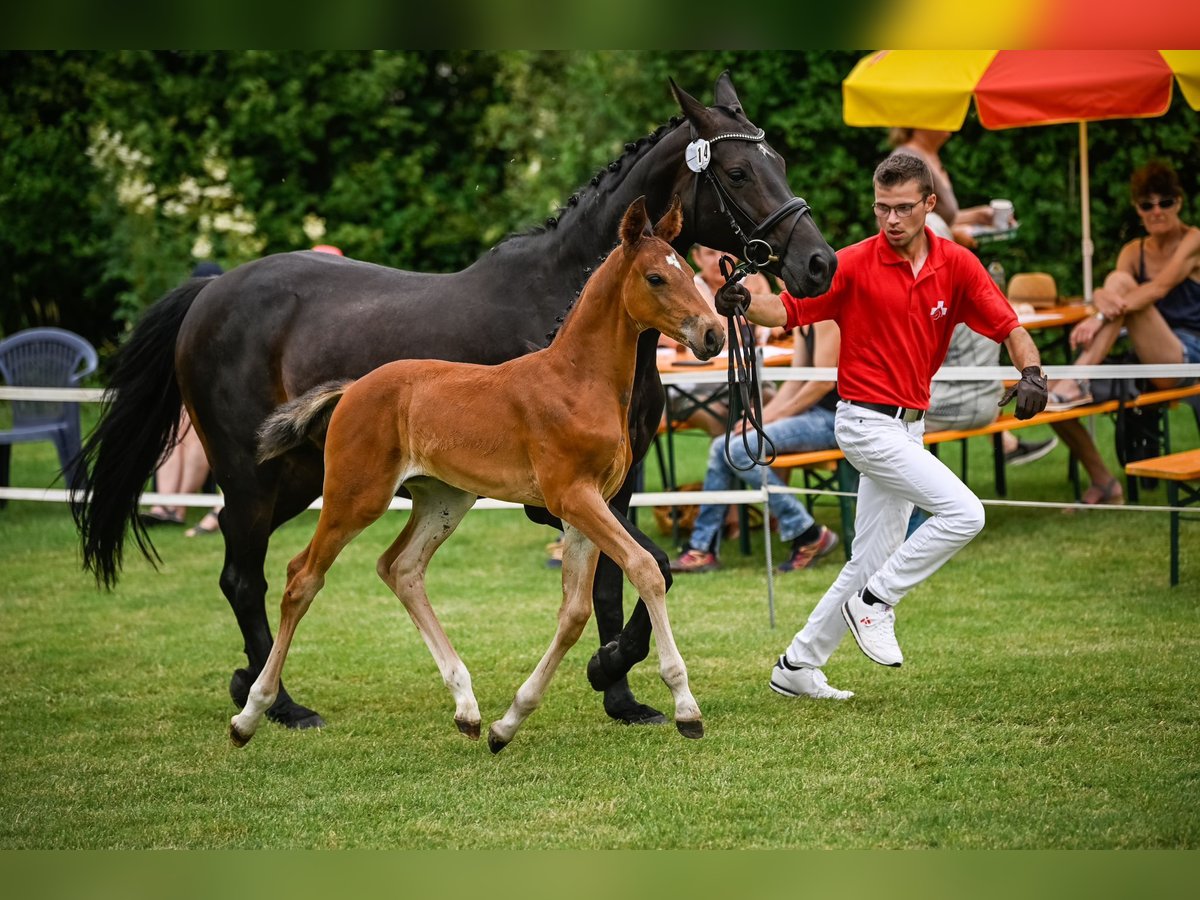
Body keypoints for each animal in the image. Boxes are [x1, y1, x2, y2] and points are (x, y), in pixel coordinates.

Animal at [231, 199, 720, 753]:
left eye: (689, 272)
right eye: (656, 276)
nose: (713, 333)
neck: (577, 380)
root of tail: (352, 388)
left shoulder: (588, 508)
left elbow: (574, 613)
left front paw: (509, 723)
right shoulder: (572, 498)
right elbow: (644, 569)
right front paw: (686, 707)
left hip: (443, 500)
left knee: (401, 569)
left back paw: (467, 709)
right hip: (354, 497)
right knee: (301, 578)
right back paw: (251, 714)